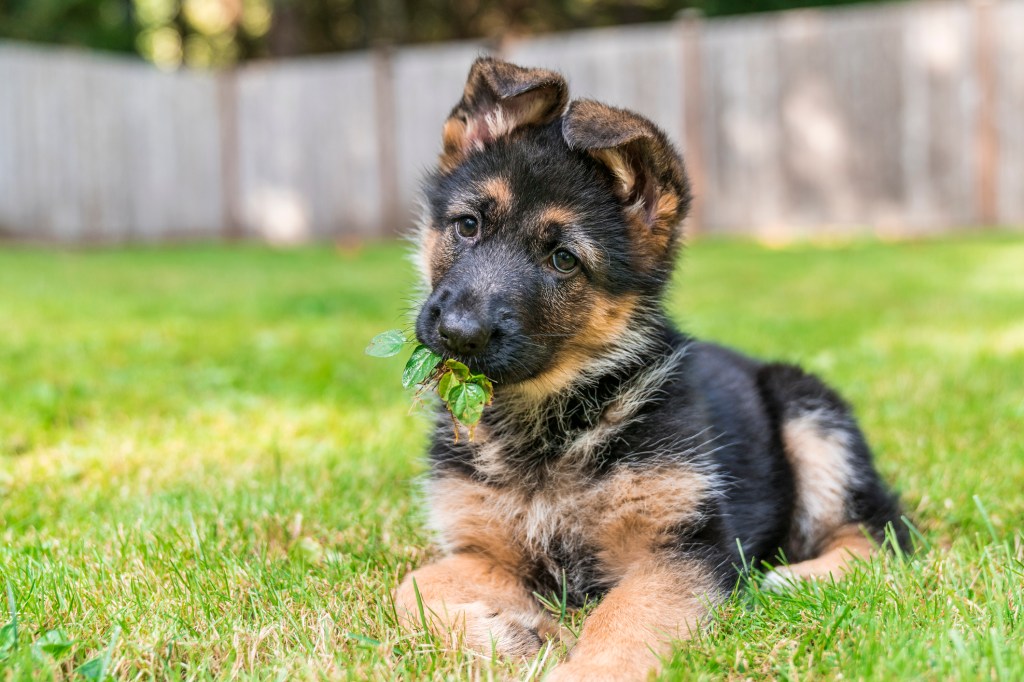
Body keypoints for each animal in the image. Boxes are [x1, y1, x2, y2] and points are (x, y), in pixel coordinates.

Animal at [393, 57, 913, 675]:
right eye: (468, 225)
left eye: (563, 260)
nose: (457, 333)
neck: (551, 422)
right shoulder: (484, 547)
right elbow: (411, 586)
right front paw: (510, 635)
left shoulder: (681, 550)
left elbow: (623, 623)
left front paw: (581, 667)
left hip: (811, 417)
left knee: (883, 533)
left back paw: (797, 578)